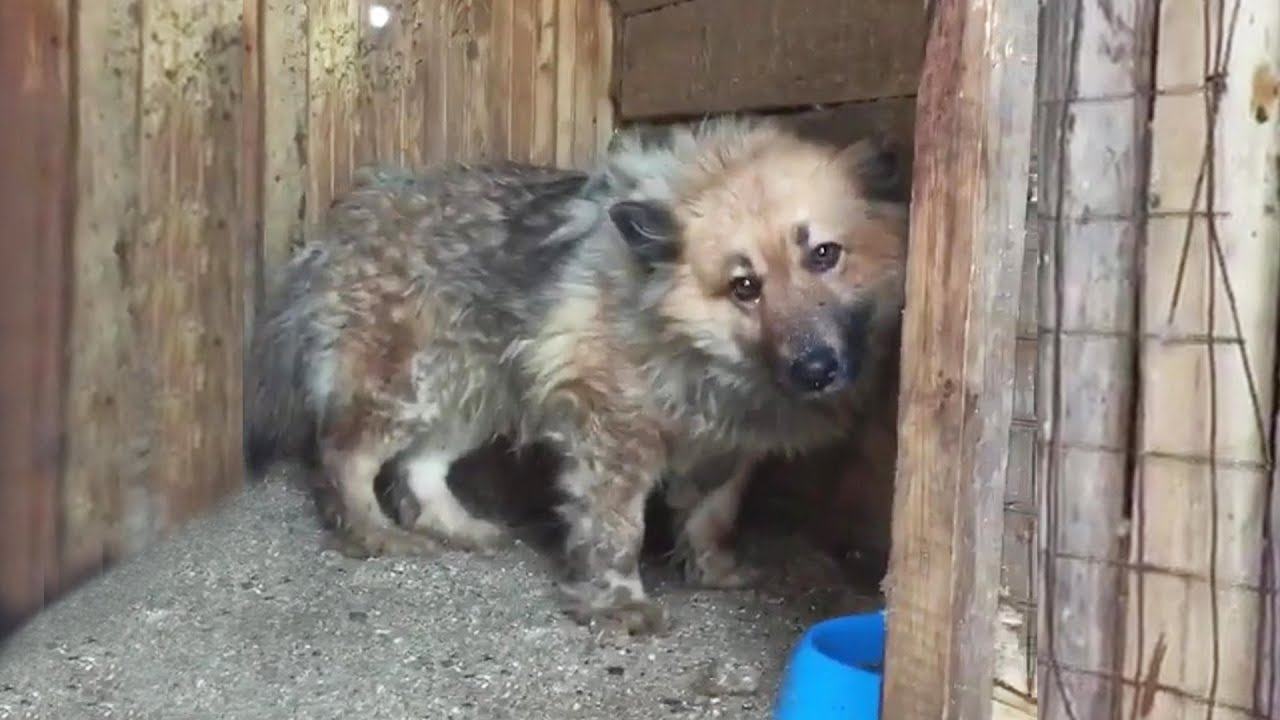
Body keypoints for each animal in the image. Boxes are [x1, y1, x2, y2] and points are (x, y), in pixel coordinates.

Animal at [247, 116, 911, 632]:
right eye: (744, 286)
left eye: (824, 254)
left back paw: (460, 527)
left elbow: (715, 513)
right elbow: (616, 528)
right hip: (410, 384)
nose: (816, 369)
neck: (690, 345)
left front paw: (713, 568)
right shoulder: (612, 426)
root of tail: (345, 223)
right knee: (346, 456)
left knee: (420, 465)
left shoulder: (730, 441)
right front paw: (619, 601)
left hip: (471, 388)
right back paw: (372, 531)